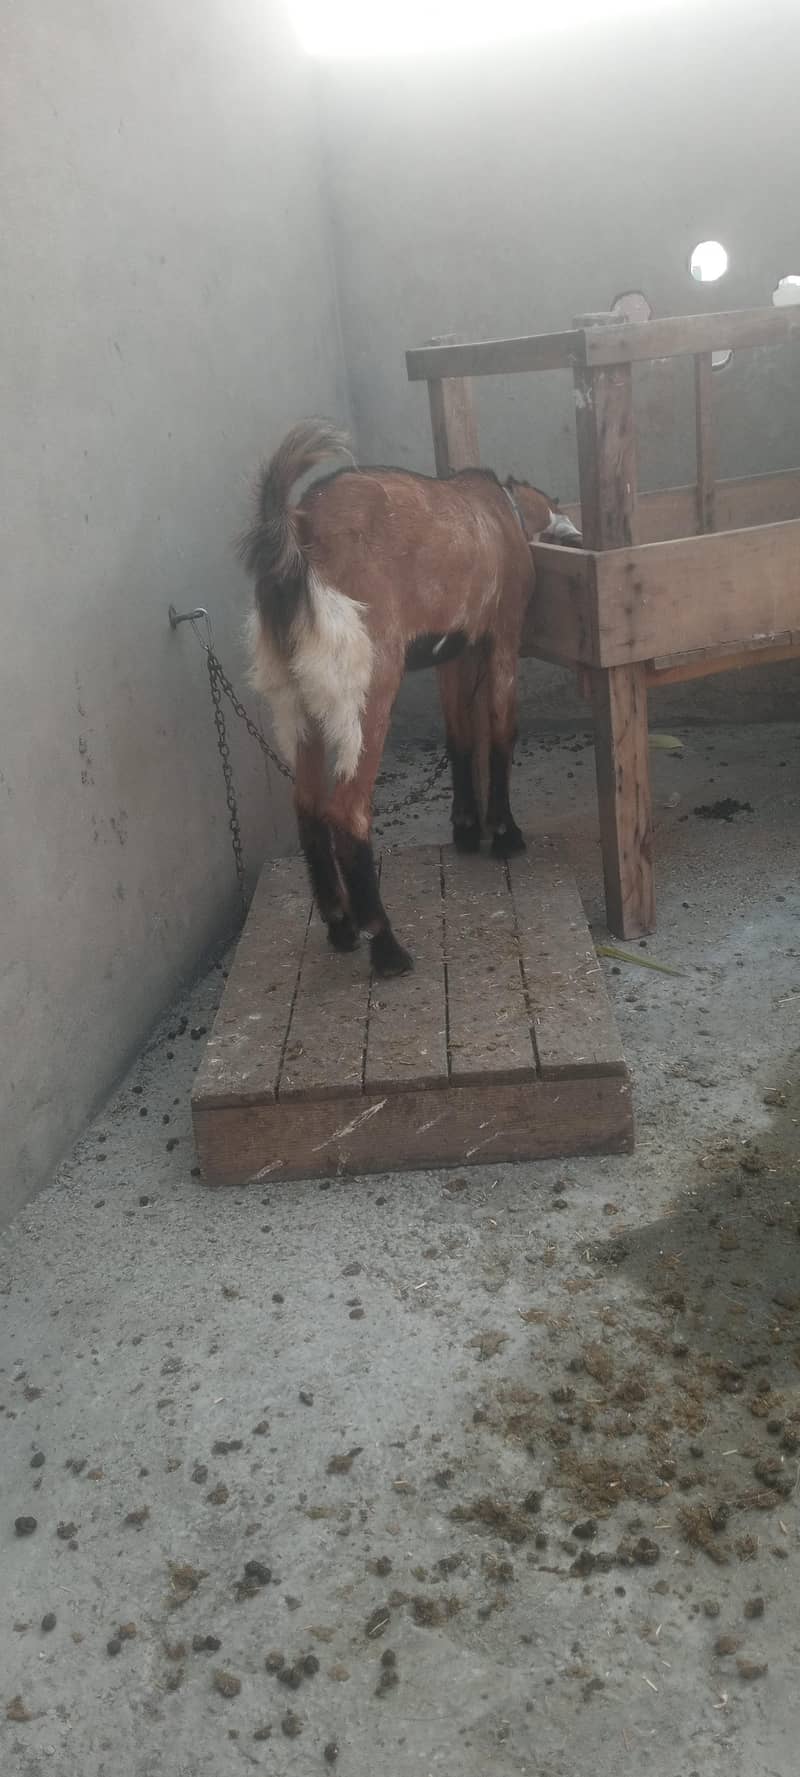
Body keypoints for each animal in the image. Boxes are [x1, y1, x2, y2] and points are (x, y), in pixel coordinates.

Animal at [239, 420, 581, 977]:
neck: (504, 511)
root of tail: (298, 532)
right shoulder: (503, 633)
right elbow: (501, 729)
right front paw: (505, 834)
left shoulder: (454, 649)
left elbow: (459, 733)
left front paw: (466, 828)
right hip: (367, 684)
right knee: (347, 809)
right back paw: (387, 947)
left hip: (297, 695)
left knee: (307, 801)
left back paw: (340, 926)